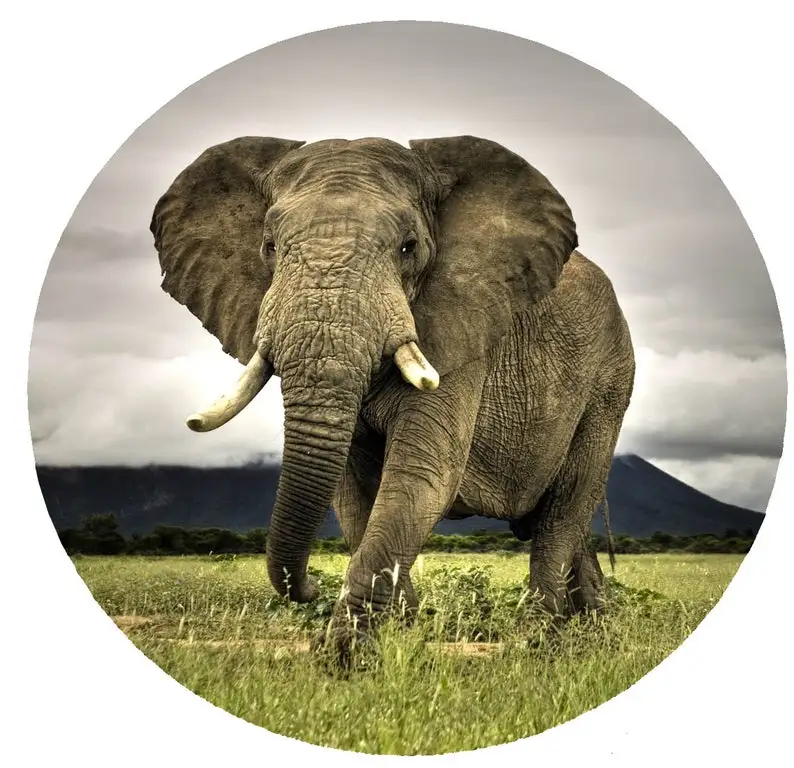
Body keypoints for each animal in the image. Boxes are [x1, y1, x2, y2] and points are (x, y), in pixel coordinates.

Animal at [150, 134, 635, 662]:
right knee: (566, 523)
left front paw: (345, 659)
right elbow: (352, 493)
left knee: (563, 513)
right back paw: (591, 634)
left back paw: (536, 644)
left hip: (609, 385)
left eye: (409, 248)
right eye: (270, 247)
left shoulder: (461, 333)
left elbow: (420, 476)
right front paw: (399, 636)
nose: (309, 589)